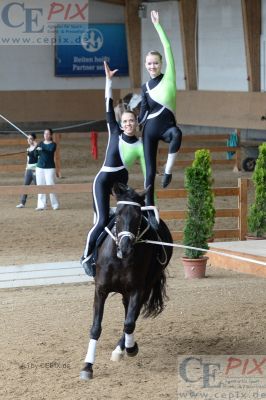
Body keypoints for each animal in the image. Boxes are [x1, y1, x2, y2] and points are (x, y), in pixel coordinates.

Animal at [80, 183, 174, 380]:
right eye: (118, 214)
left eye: (138, 216)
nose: (125, 247)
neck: (119, 258)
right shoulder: (100, 290)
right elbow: (96, 327)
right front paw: (87, 366)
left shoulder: (138, 289)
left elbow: (130, 322)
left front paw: (131, 348)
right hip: (125, 292)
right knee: (126, 311)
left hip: (144, 287)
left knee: (132, 317)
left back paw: (121, 348)